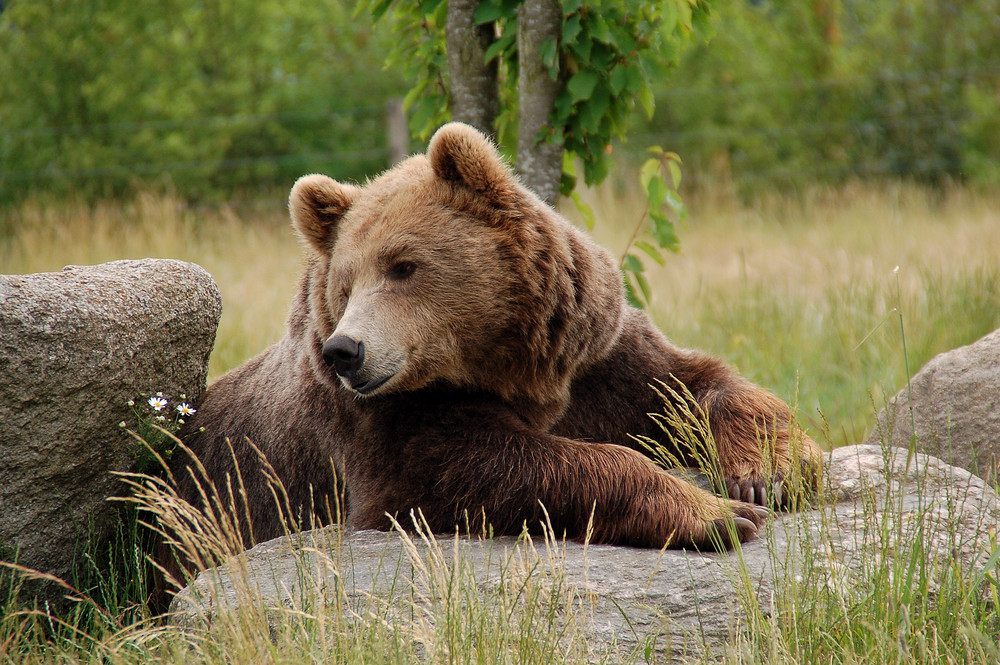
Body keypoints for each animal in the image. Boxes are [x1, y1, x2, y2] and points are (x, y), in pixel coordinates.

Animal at [172, 120, 824, 556]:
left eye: (402, 266)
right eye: (345, 283)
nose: (344, 351)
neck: (503, 360)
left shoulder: (593, 357)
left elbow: (691, 383)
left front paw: (768, 473)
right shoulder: (382, 423)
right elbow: (471, 467)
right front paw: (717, 514)